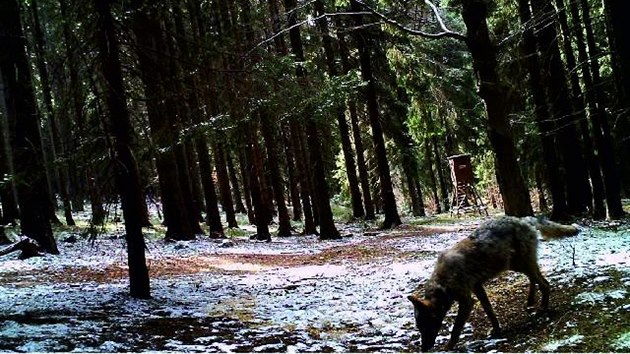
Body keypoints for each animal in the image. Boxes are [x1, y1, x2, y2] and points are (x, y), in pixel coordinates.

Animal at [410, 216, 584, 352]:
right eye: (419, 327)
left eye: (425, 326)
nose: (423, 350)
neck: (443, 284)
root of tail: (522, 219)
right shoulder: (478, 288)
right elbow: (490, 311)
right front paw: (497, 330)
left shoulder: (467, 302)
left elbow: (456, 329)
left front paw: (448, 348)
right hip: (516, 265)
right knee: (535, 279)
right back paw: (530, 301)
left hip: (520, 265)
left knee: (545, 283)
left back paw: (543, 308)